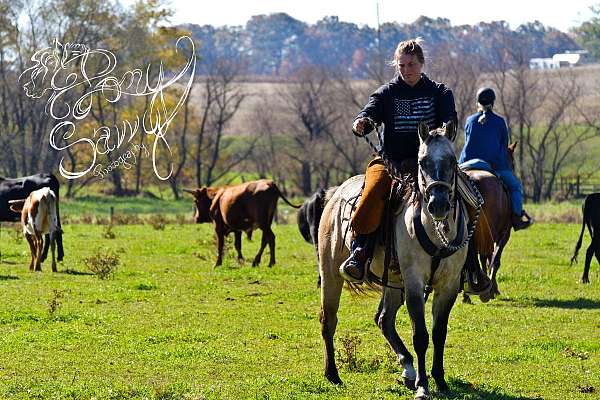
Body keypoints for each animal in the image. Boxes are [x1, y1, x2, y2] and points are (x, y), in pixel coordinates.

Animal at [318, 122, 474, 400]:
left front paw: (439, 380)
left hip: (392, 281)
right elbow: (420, 335)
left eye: (452, 160)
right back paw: (333, 375)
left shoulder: (448, 285)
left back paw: (408, 368)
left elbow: (439, 333)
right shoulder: (413, 282)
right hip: (331, 274)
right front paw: (423, 386)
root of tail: (335, 194)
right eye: (422, 162)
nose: (438, 205)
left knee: (384, 319)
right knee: (329, 320)